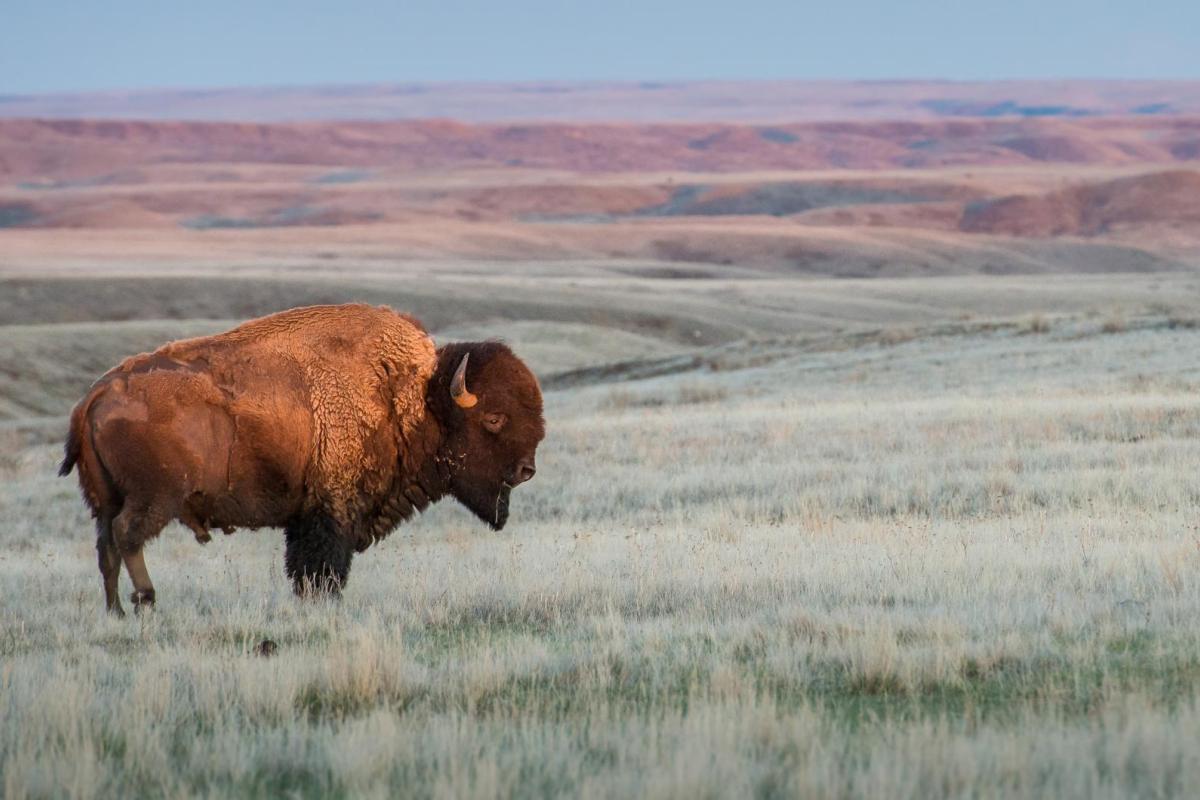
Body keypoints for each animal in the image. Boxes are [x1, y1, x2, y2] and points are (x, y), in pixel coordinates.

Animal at [59, 303, 545, 615]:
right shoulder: (331, 510)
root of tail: (94, 397)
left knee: (106, 548)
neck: (411, 396)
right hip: (154, 498)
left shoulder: (306, 514)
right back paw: (146, 600)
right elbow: (322, 565)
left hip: (105, 500)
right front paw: (324, 603)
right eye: (494, 418)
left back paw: (116, 612)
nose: (527, 470)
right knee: (127, 537)